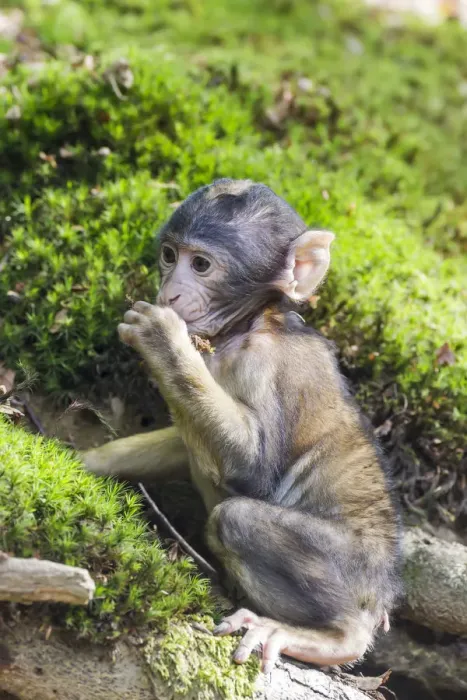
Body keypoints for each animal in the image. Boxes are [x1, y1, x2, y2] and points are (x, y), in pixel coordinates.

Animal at [82, 178, 402, 674]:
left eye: (201, 265)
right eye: (169, 255)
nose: (169, 293)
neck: (244, 326)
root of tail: (382, 591)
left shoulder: (265, 362)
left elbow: (251, 469)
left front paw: (163, 341)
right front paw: (78, 461)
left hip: (354, 570)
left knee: (235, 518)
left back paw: (338, 636)